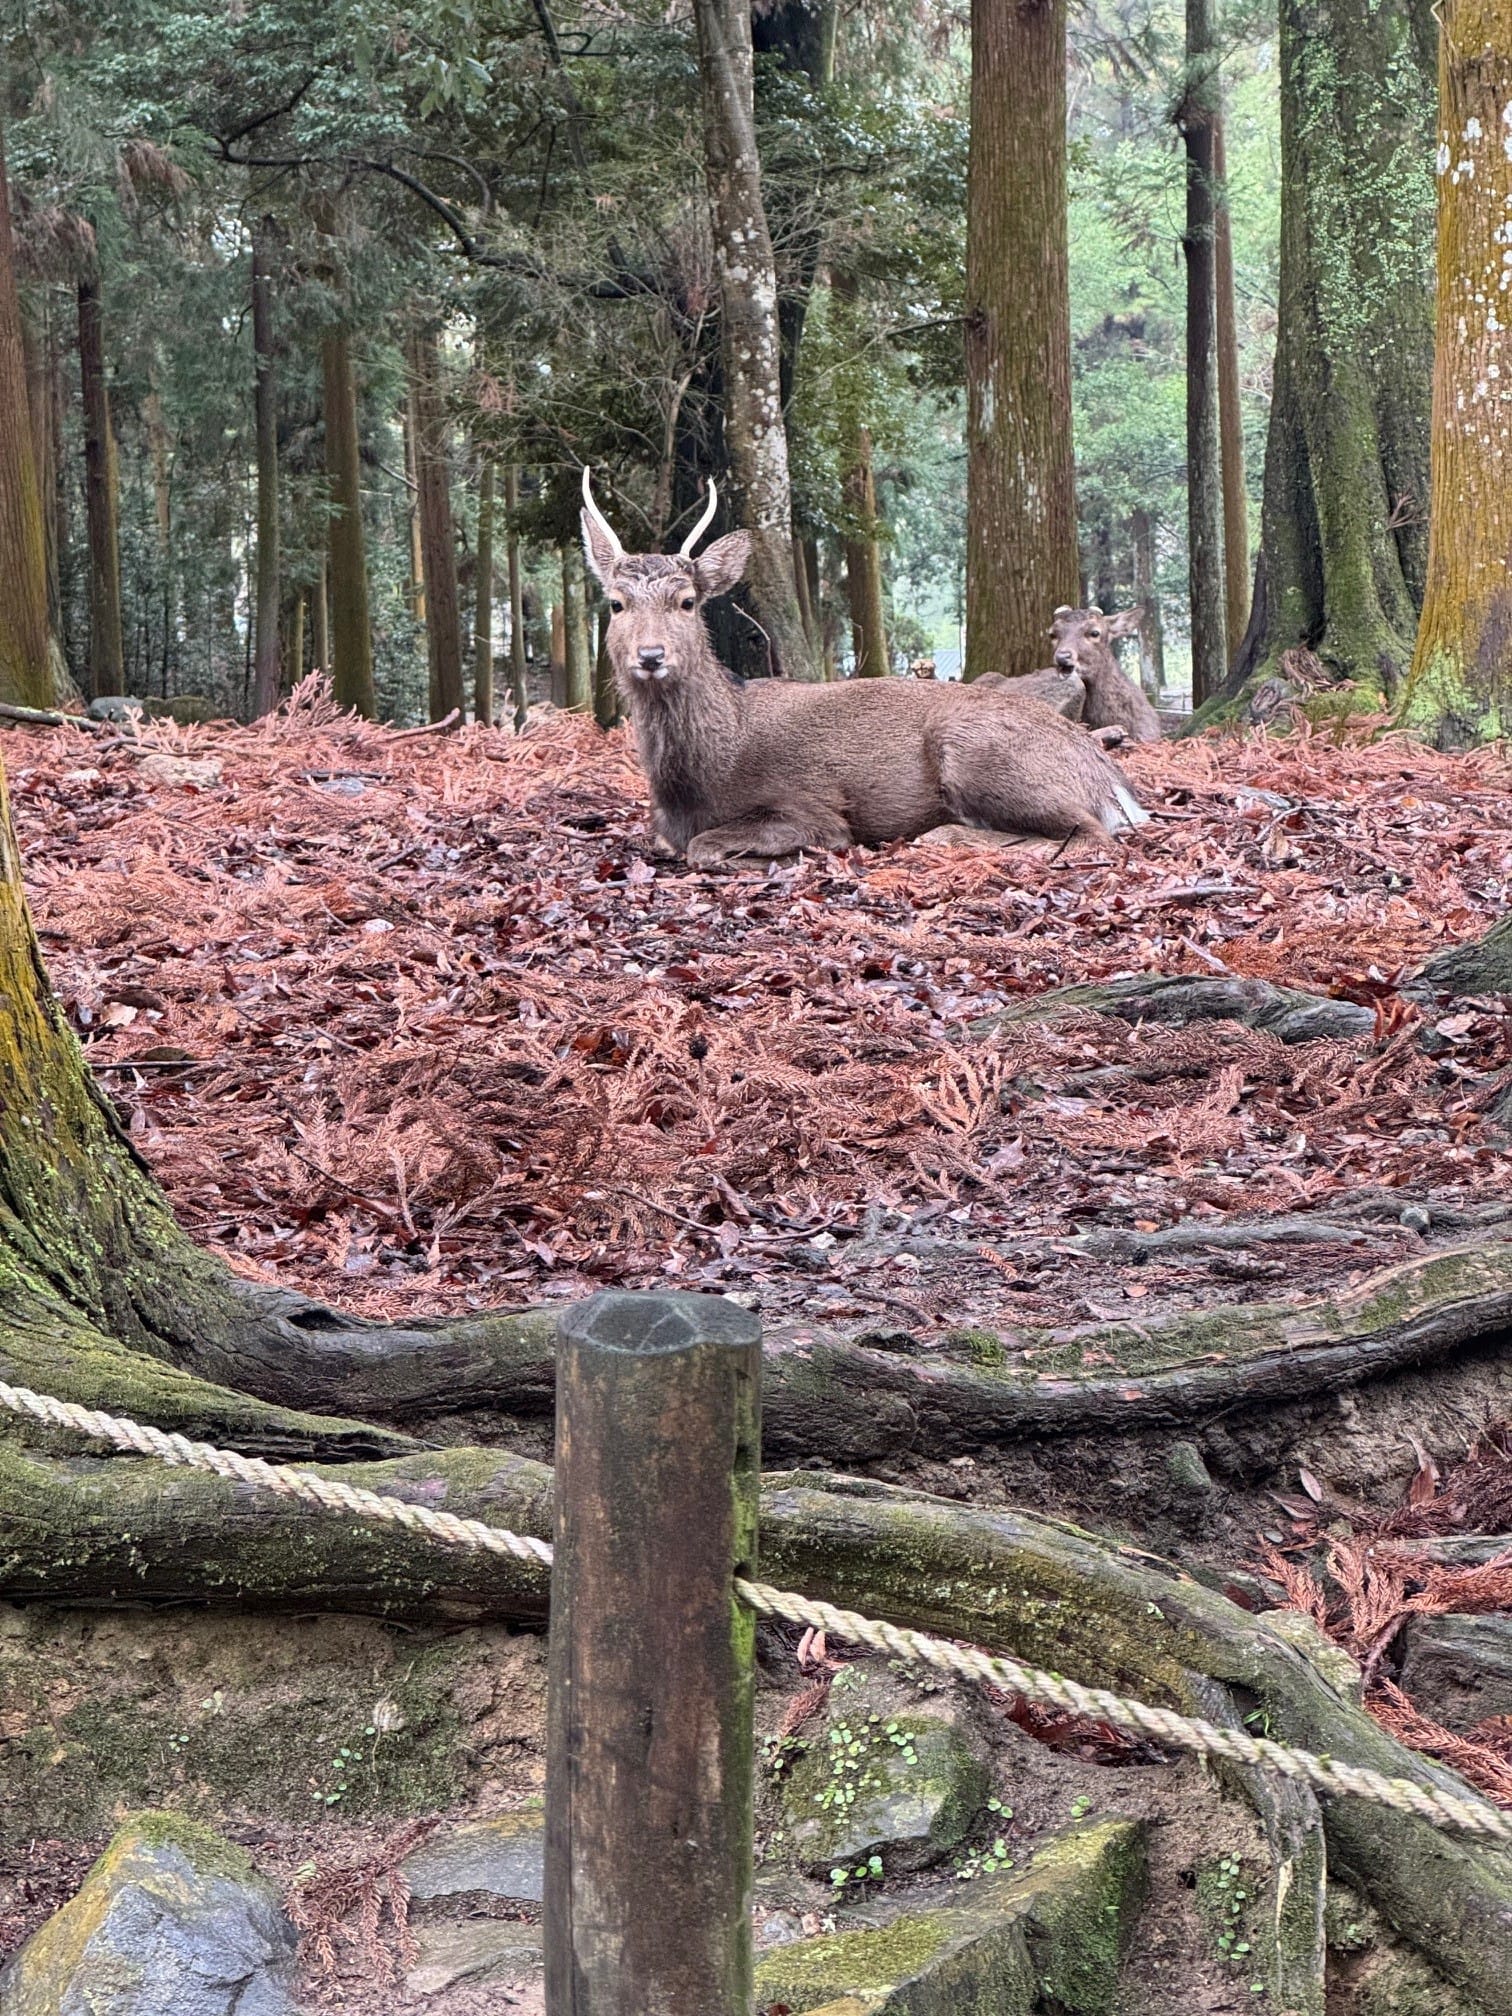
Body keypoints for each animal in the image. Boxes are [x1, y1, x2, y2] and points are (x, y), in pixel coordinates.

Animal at [580, 471, 1145, 866]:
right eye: (615, 603)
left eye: (688, 601)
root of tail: (1109, 779)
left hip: (979, 749)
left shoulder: (811, 804)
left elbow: (707, 845)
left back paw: (939, 836)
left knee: (1090, 835)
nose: (651, 656)